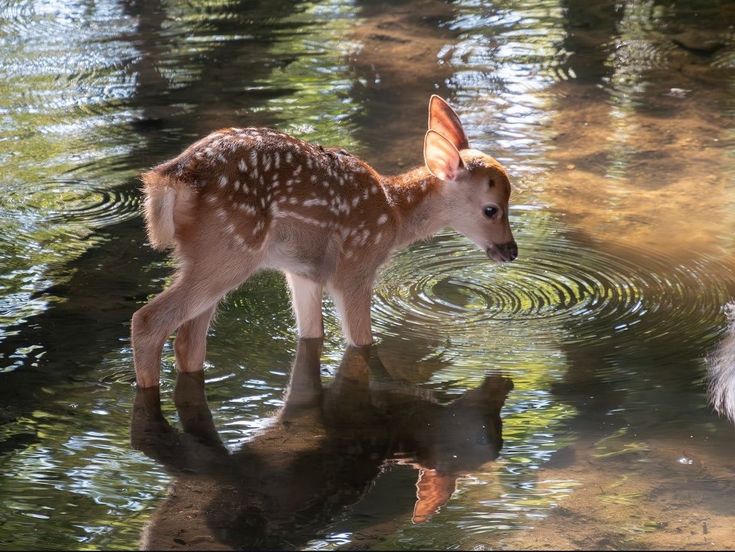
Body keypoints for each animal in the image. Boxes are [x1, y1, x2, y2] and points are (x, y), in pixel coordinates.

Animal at [132, 96, 516, 388]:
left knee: (188, 343)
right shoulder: (355, 268)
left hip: (207, 257)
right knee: (148, 321)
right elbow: (362, 343)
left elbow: (311, 337)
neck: (393, 213)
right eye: (491, 209)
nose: (511, 251)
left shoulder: (303, 273)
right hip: (229, 250)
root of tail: (172, 177)